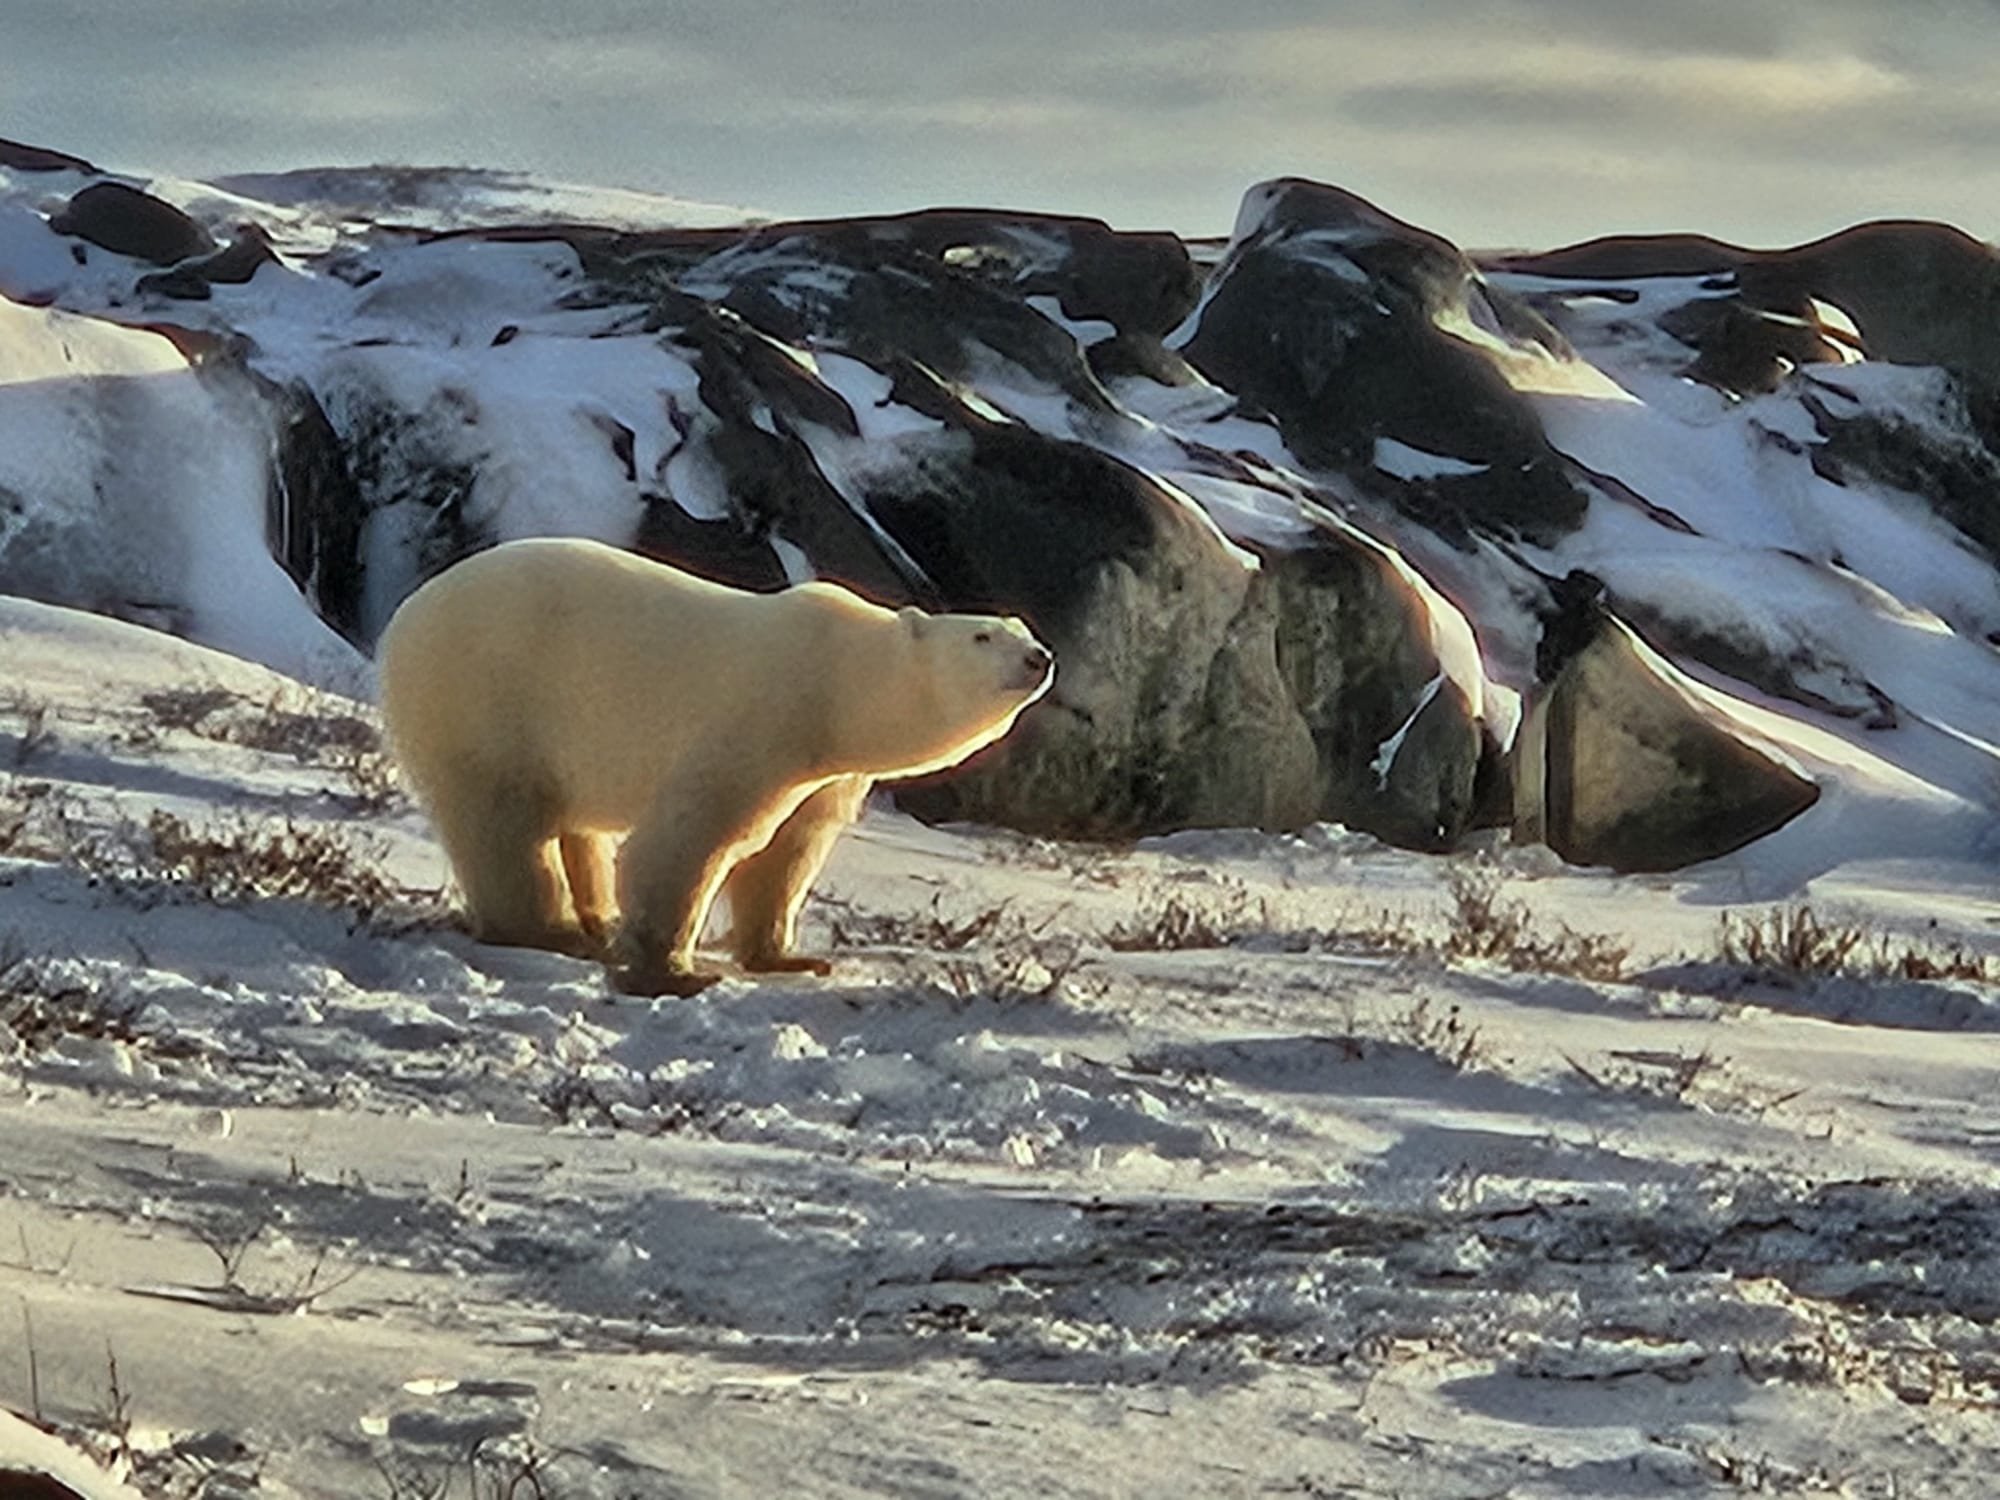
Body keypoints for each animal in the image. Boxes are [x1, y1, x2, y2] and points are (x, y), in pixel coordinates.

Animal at [376, 537, 1053, 996]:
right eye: (981, 637)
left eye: (1022, 627)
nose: (1039, 658)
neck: (836, 679)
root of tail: (405, 615)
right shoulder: (760, 718)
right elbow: (691, 838)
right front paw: (673, 970)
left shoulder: (826, 772)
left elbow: (787, 852)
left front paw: (789, 956)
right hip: (486, 696)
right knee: (505, 822)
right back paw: (553, 929)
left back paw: (593, 920)